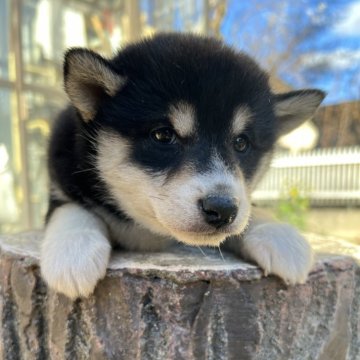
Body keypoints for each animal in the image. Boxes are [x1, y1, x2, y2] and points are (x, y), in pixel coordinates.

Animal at [40, 33, 324, 298]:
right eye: (164, 135)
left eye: (241, 142)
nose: (222, 209)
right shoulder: (60, 178)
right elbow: (72, 208)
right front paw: (72, 251)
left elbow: (250, 210)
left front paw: (280, 235)